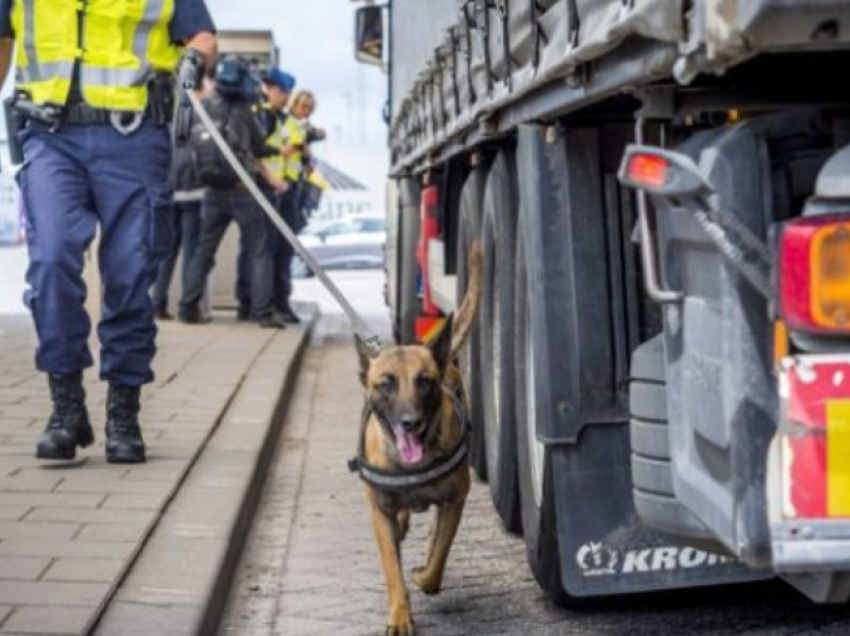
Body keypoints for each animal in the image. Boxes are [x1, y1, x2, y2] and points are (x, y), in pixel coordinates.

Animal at [354, 241, 480, 632]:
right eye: (386, 383)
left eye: (425, 381)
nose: (410, 422)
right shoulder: (379, 511)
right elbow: (392, 571)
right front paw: (399, 615)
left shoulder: (455, 501)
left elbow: (439, 553)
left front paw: (426, 577)